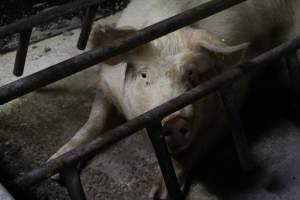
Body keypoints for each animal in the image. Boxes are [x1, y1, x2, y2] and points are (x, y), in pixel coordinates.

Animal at [49, 0, 300, 199]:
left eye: (191, 74)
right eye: (144, 75)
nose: (175, 121)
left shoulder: (230, 99)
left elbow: (195, 147)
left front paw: (157, 195)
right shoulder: (107, 86)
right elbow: (95, 121)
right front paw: (54, 167)